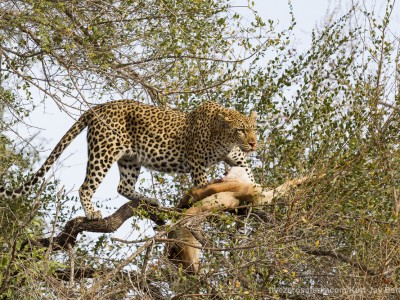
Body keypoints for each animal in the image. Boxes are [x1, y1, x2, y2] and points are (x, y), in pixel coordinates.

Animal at [0, 99, 258, 219]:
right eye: (240, 130)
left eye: (254, 129)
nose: (254, 143)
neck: (223, 137)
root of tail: (98, 107)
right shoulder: (196, 163)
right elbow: (203, 185)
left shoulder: (237, 157)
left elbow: (249, 174)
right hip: (103, 152)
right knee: (86, 187)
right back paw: (92, 213)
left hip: (130, 160)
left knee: (122, 186)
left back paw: (148, 199)